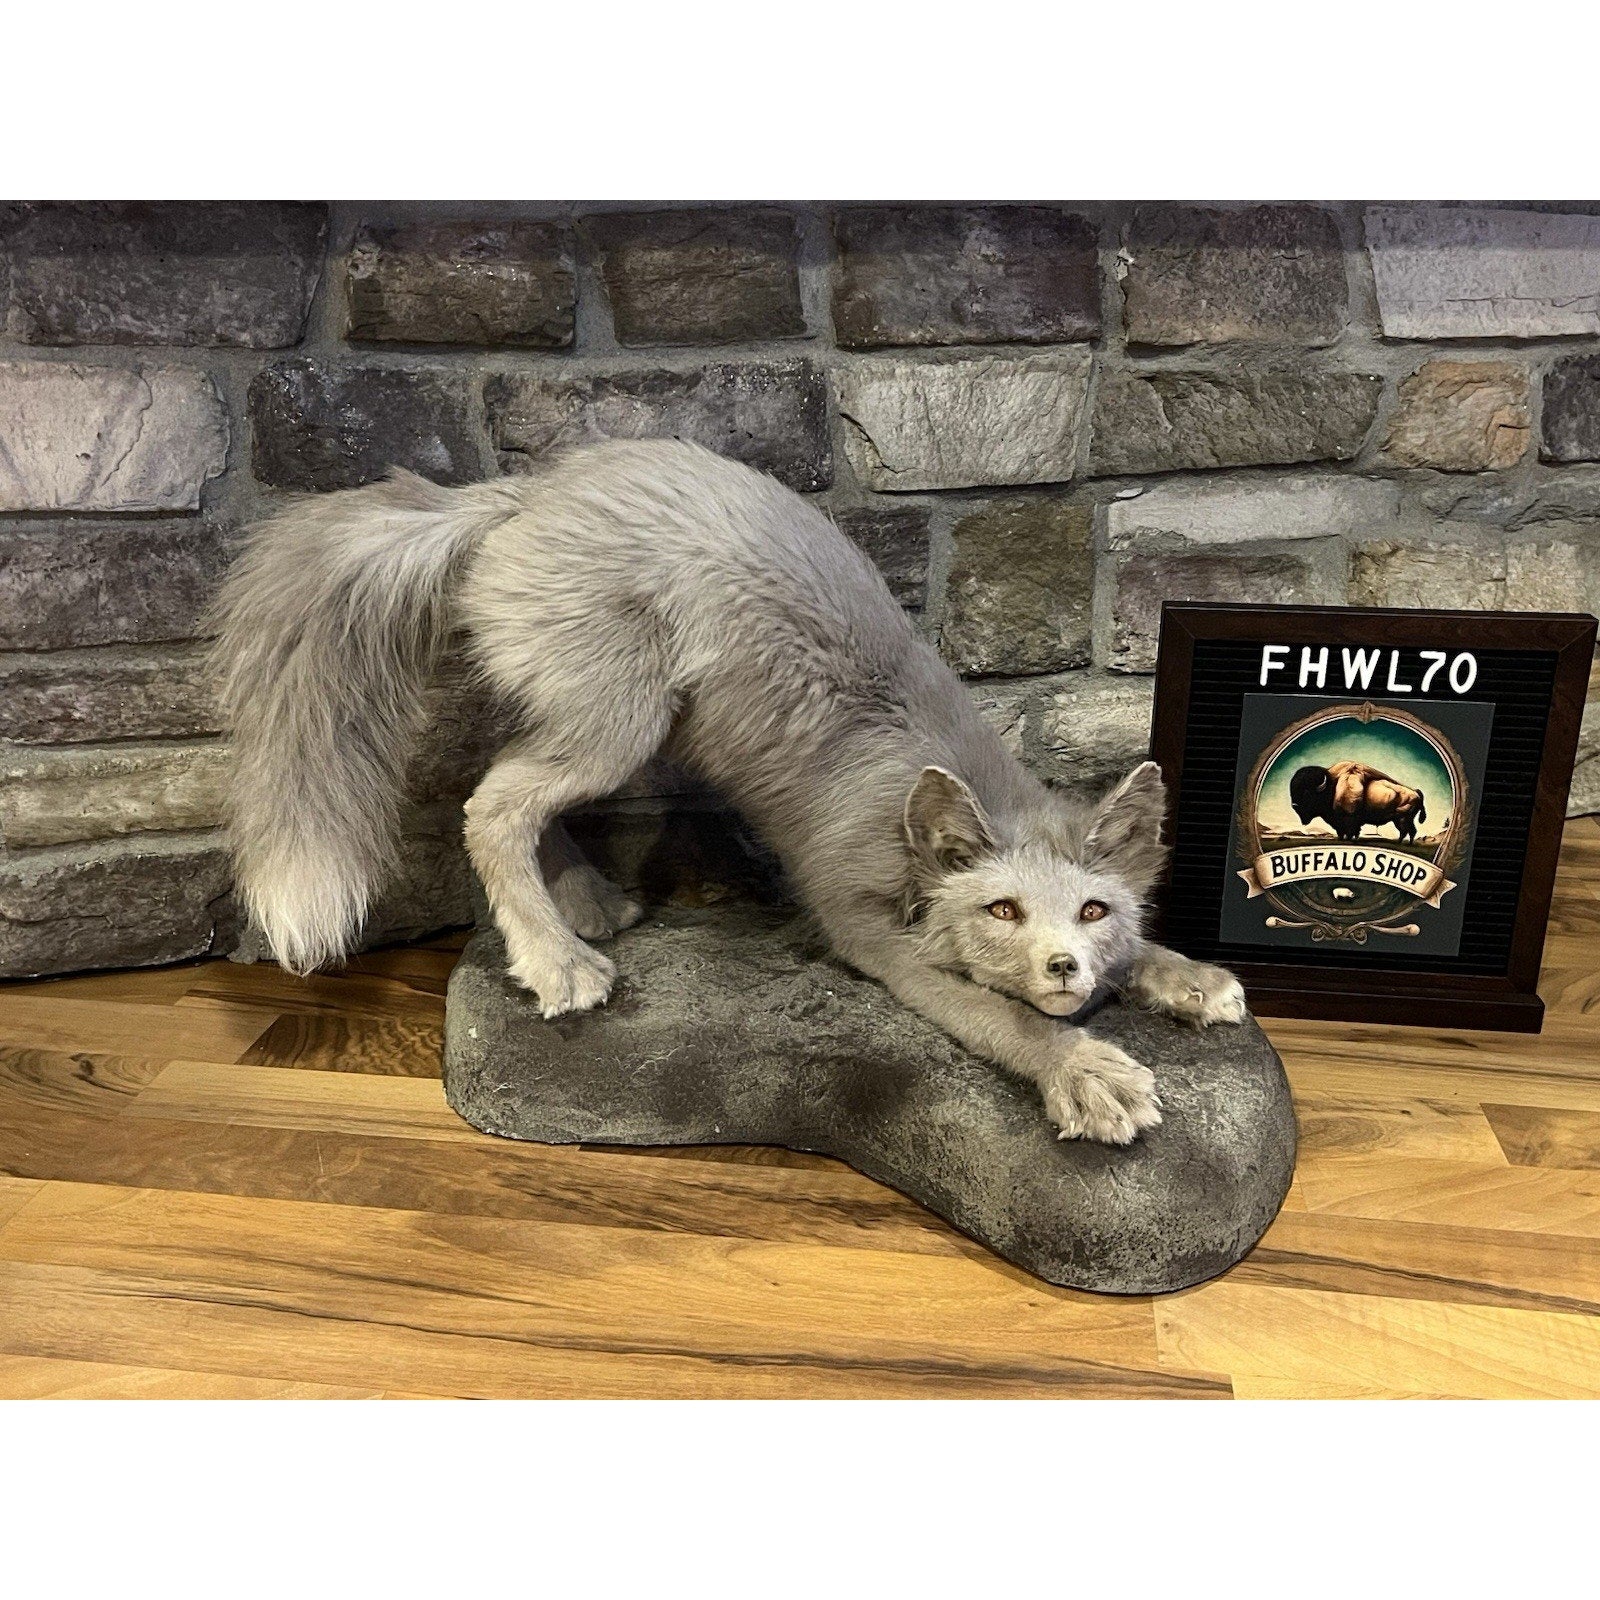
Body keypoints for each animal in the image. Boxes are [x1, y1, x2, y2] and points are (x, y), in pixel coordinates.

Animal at [211, 439, 1245, 1144]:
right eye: (1003, 911)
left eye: (1094, 910)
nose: (1065, 968)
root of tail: (527, 490)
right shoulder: (865, 932)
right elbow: (1001, 1019)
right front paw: (1085, 1071)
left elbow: (1147, 952)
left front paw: (1186, 976)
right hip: (622, 721)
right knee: (491, 804)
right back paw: (556, 961)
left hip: (600, 719)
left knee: (506, 781)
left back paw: (582, 902)